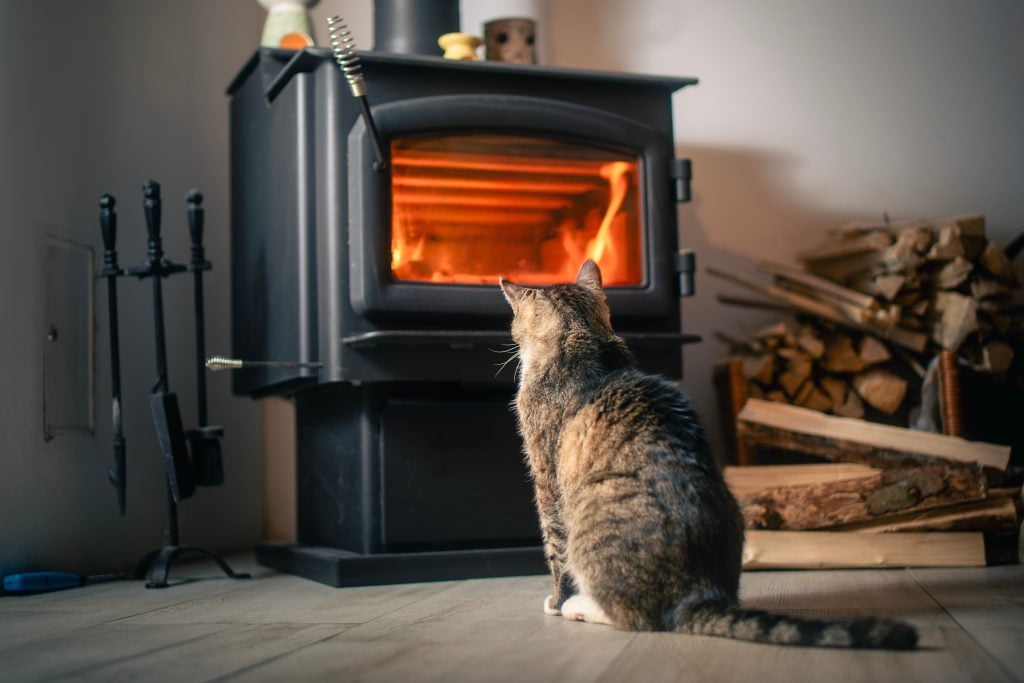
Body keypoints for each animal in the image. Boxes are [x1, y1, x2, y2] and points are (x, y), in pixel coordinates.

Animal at [497, 259, 921, 651]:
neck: (581, 337)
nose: (512, 340)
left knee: (633, 615)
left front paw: (557, 601)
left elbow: (555, 549)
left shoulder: (547, 482)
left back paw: (579, 607)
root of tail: (699, 593)